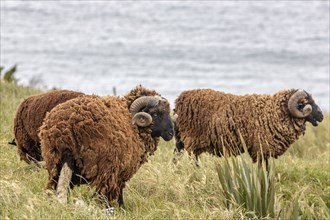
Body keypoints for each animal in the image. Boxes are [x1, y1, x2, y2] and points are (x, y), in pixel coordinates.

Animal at [38, 85, 174, 208]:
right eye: (155, 114)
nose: (171, 133)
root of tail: (66, 132)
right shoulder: (120, 171)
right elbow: (119, 191)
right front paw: (122, 208)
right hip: (104, 167)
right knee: (102, 191)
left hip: (54, 163)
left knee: (54, 187)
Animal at [174, 88, 324, 168]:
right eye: (305, 103)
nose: (322, 116)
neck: (272, 112)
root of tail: (180, 99)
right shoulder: (261, 149)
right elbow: (263, 168)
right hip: (192, 139)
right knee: (192, 159)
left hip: (180, 139)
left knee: (176, 156)